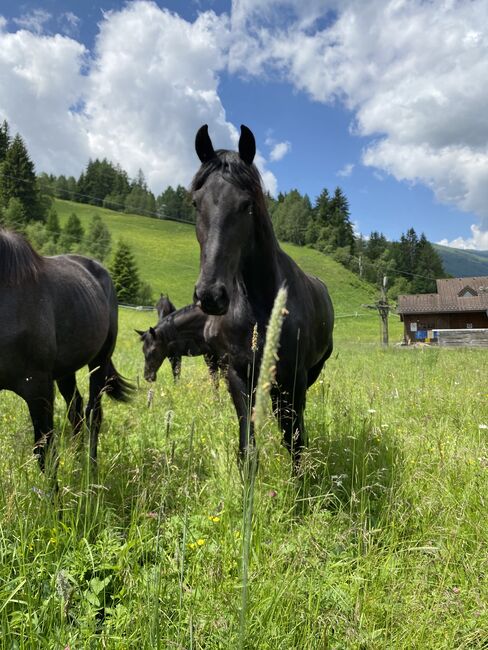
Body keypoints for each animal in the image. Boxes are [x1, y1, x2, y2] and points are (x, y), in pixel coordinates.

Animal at [0, 228, 133, 476]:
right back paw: (77, 458)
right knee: (76, 410)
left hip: (99, 362)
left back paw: (91, 468)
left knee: (93, 413)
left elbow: (45, 453)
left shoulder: (38, 388)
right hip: (65, 372)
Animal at [193, 124, 334, 466]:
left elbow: (295, 442)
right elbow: (248, 446)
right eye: (195, 203)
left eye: (247, 205)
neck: (258, 309)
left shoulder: (294, 380)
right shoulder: (238, 375)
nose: (211, 295)